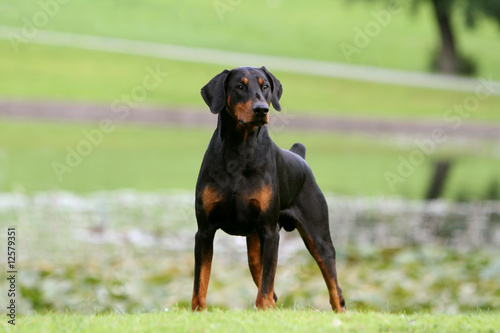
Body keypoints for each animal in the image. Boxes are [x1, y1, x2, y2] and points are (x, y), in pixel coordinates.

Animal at [191, 66, 344, 310]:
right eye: (239, 86)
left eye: (265, 87)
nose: (261, 109)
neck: (239, 151)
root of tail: (300, 157)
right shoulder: (204, 231)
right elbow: (200, 283)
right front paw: (198, 312)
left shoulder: (270, 232)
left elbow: (266, 286)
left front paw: (262, 309)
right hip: (254, 250)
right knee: (270, 287)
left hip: (319, 240)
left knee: (335, 290)